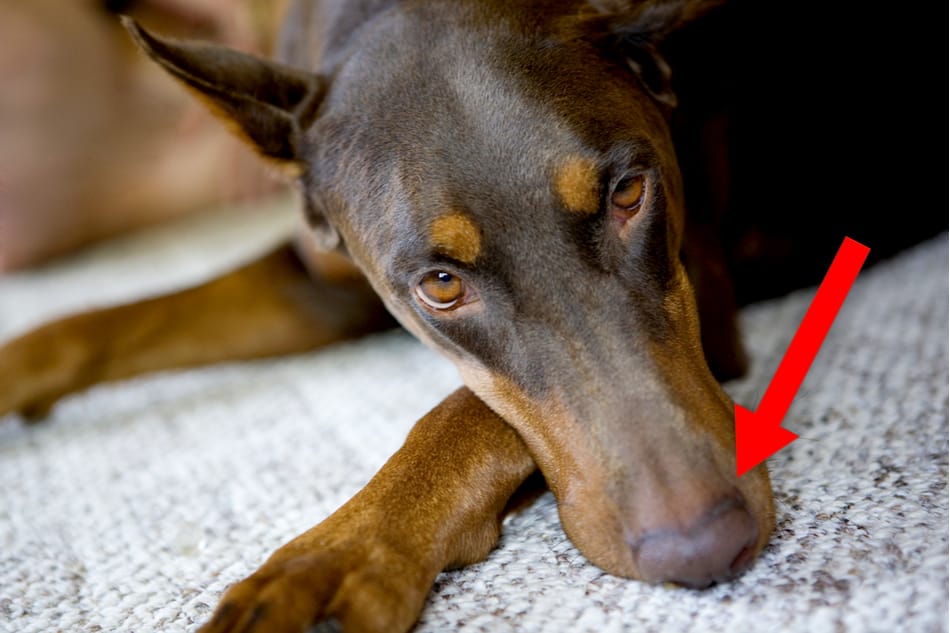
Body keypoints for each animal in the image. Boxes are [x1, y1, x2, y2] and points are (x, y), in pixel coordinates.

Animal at [1, 1, 796, 632]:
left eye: (630, 192)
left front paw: (334, 560)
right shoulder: (323, 279)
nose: (702, 545)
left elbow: (464, 412)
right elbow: (86, 327)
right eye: (441, 286)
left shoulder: (704, 296)